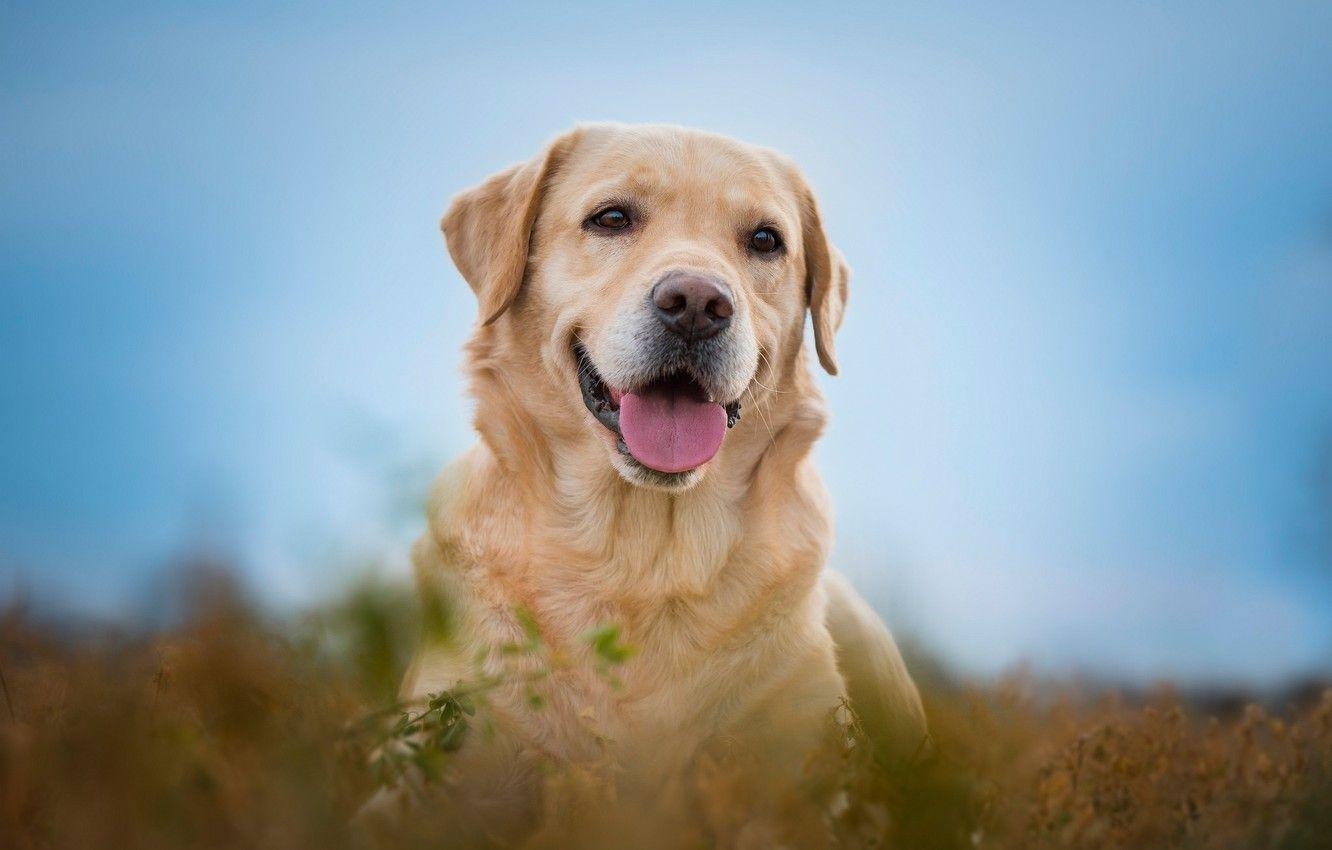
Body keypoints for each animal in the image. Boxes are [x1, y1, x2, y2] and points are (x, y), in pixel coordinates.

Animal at [380, 123, 921, 847]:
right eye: (611, 218)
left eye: (765, 239)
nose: (696, 304)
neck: (642, 550)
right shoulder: (436, 770)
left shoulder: (796, 786)